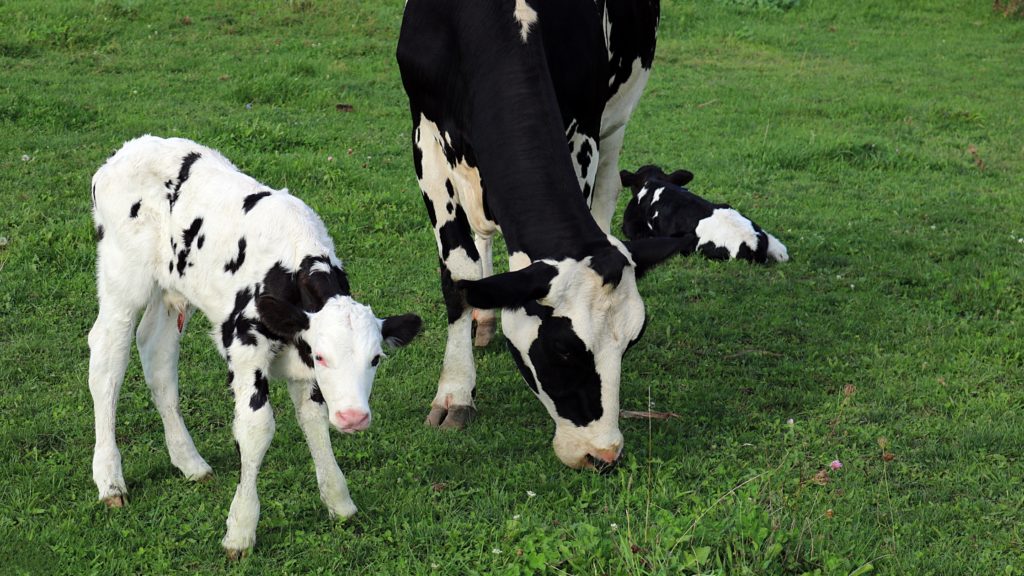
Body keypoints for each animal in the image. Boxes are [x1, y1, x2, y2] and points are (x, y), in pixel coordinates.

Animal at [88, 135, 422, 557]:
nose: (353, 417)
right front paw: (241, 530)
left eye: (376, 358)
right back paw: (109, 480)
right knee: (108, 359)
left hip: (171, 289)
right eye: (323, 355)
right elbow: (256, 428)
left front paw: (339, 501)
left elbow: (313, 419)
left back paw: (190, 462)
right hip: (122, 278)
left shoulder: (301, 361)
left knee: (157, 355)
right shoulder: (246, 347)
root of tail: (128, 150)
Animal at [397, 0, 689, 471]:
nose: (602, 455)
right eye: (563, 348)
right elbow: (459, 274)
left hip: (619, 112)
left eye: (632, 342)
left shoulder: (585, 125)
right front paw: (456, 392)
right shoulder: (426, 133)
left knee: (607, 194)